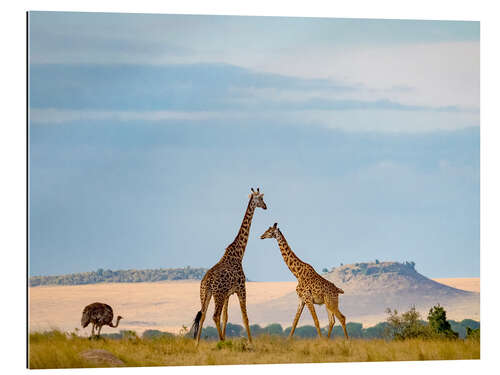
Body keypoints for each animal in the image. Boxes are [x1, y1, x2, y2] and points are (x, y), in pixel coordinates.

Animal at [192, 188, 268, 346]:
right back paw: (220, 341)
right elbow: (245, 317)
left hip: (205, 294)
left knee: (203, 315)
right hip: (218, 294)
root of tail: (207, 282)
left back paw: (197, 344)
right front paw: (251, 343)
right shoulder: (241, 288)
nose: (266, 206)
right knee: (214, 315)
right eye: (261, 198)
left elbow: (226, 317)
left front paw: (227, 338)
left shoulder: (228, 294)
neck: (238, 254)